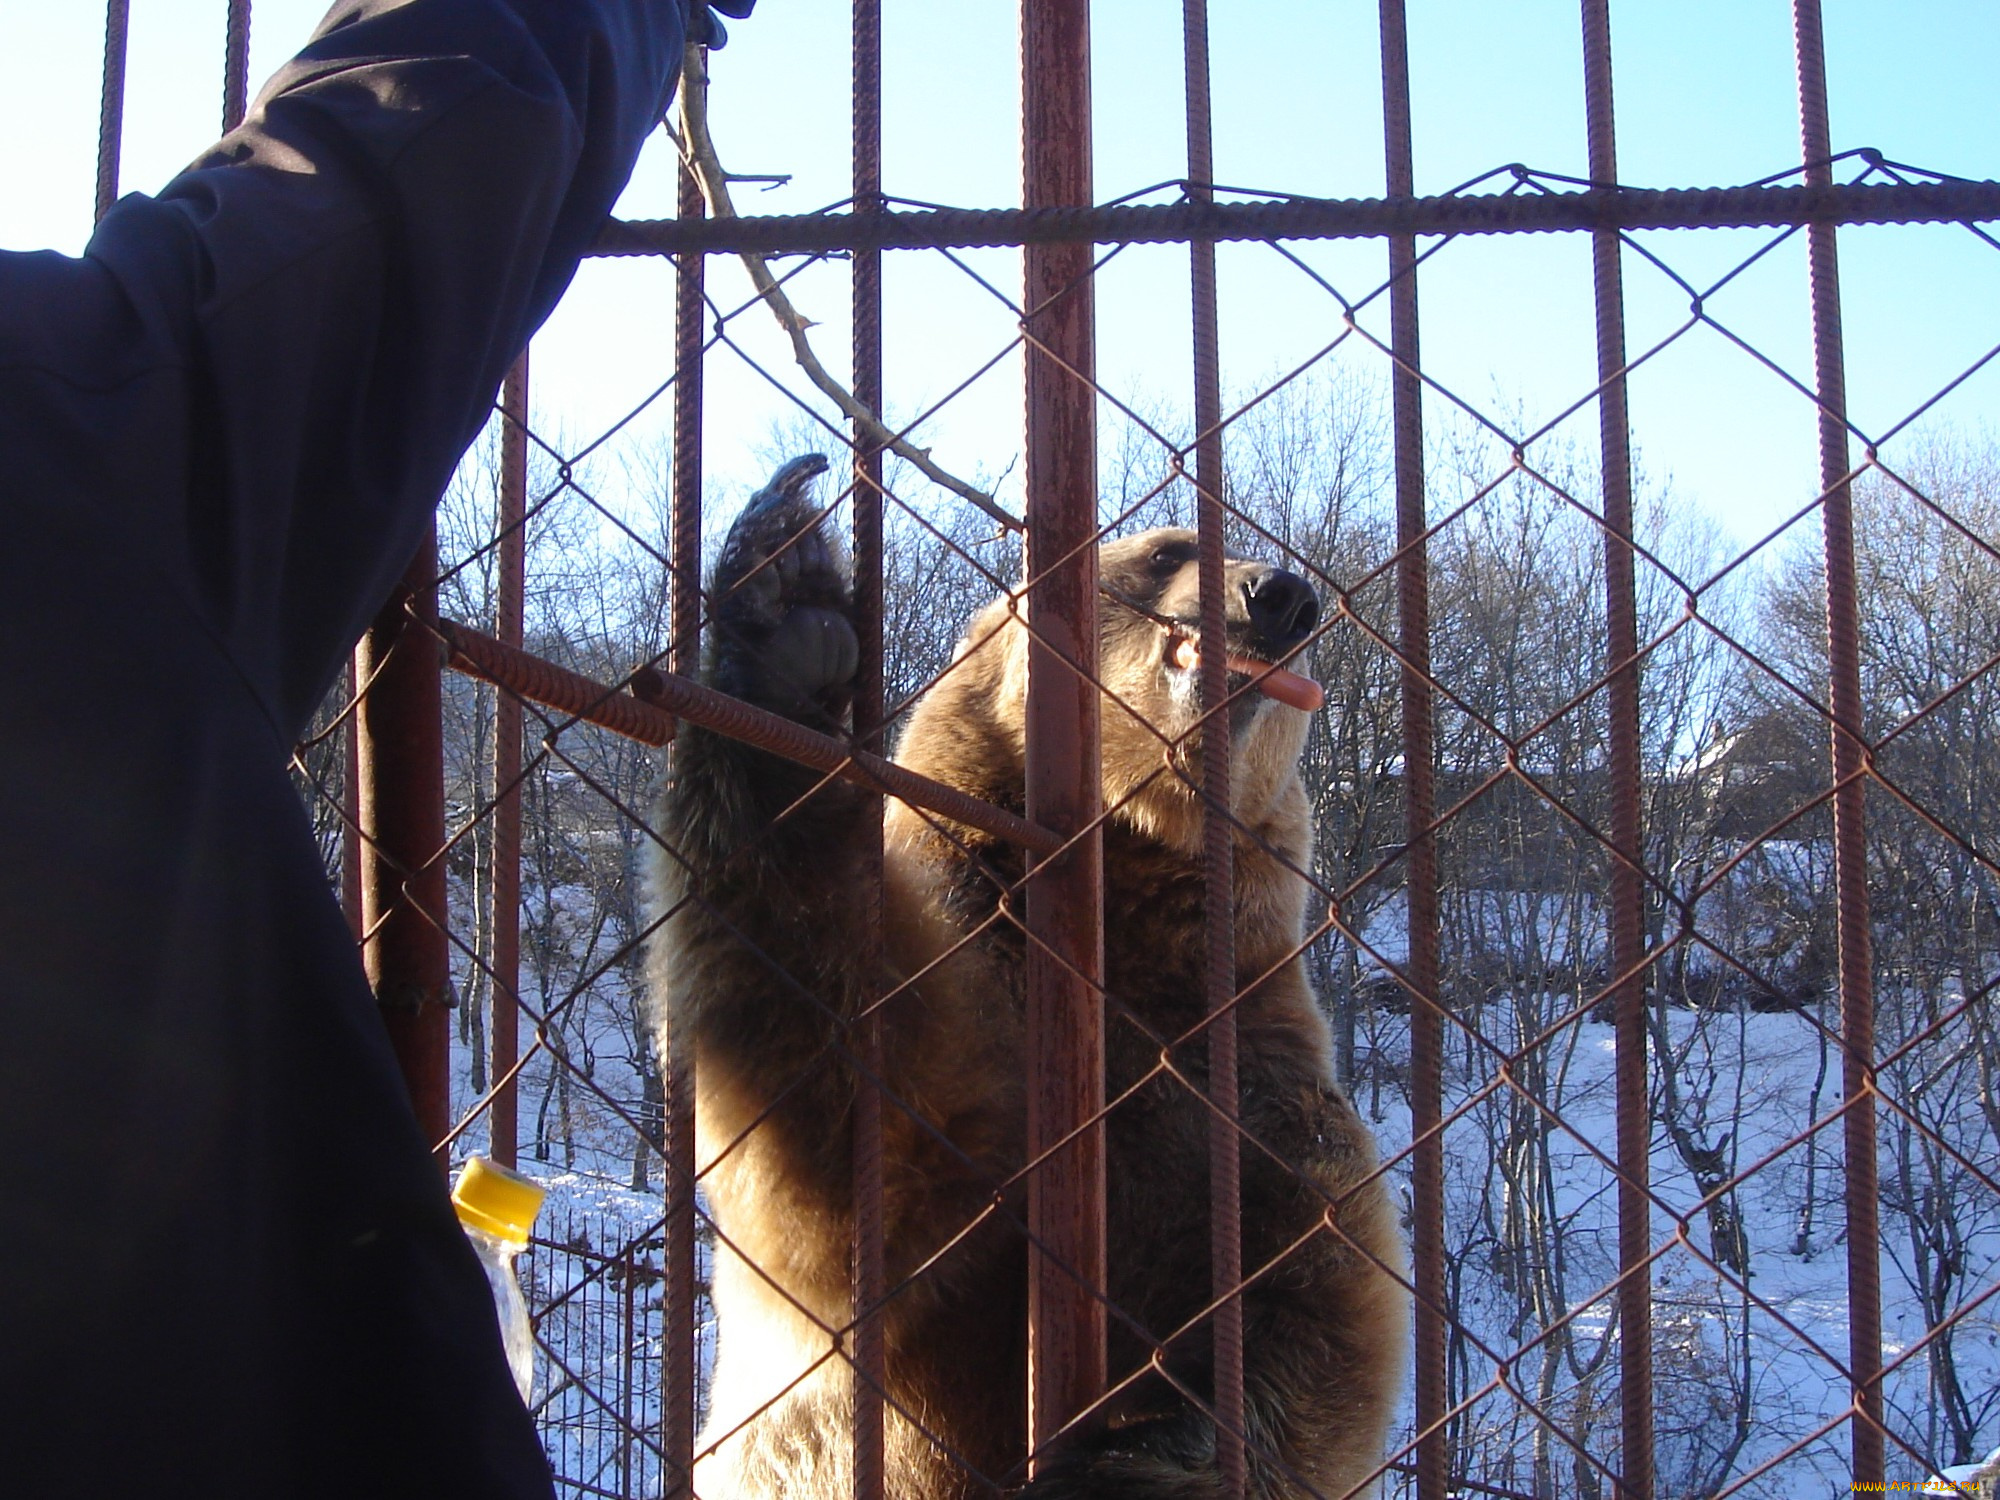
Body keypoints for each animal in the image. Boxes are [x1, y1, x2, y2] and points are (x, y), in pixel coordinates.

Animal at [648, 458, 1400, 1500]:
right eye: (1167, 550)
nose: (1283, 596)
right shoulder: (974, 950)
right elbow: (867, 1159)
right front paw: (785, 617)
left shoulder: (1247, 1076)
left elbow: (1318, 1295)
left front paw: (1132, 1456)